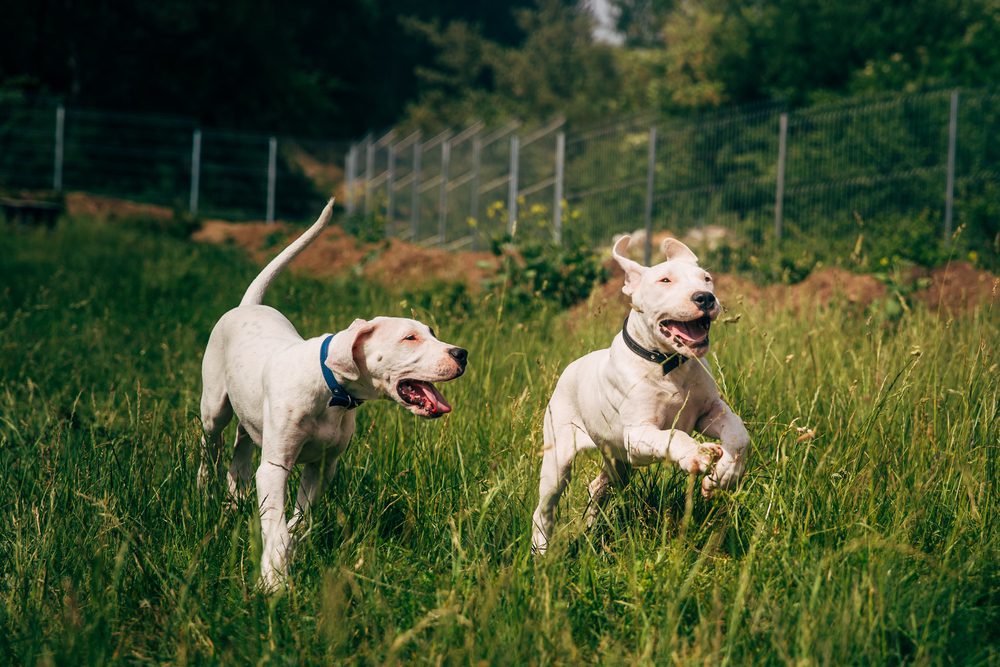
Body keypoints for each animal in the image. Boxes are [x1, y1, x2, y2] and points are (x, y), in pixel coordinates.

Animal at [203, 201, 472, 588]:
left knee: (241, 447)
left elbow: (298, 520)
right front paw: (273, 580)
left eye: (432, 332)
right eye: (410, 338)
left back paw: (234, 498)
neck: (330, 390)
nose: (461, 353)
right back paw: (206, 493)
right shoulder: (275, 467)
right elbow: (277, 525)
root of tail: (248, 306)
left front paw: (289, 553)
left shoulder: (322, 466)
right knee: (211, 448)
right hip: (213, 409)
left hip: (251, 421)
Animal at [532, 235, 752, 552]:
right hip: (559, 460)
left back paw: (591, 529)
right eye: (665, 280)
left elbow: (739, 434)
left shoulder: (710, 411)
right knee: (545, 509)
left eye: (707, 279)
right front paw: (697, 454)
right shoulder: (638, 433)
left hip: (619, 463)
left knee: (598, 487)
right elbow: (673, 435)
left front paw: (724, 475)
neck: (669, 365)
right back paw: (541, 551)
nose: (705, 298)